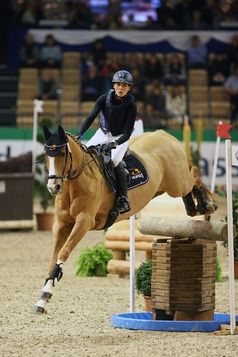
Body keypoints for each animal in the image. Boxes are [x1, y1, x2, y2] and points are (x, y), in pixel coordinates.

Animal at [33, 124, 218, 312]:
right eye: (46, 156)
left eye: (62, 154)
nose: (53, 187)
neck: (76, 183)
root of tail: (164, 135)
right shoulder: (62, 224)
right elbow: (54, 257)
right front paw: (42, 298)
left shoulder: (83, 222)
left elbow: (63, 252)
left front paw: (46, 293)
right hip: (166, 187)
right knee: (189, 187)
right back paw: (193, 207)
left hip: (176, 184)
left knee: (194, 175)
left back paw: (206, 204)